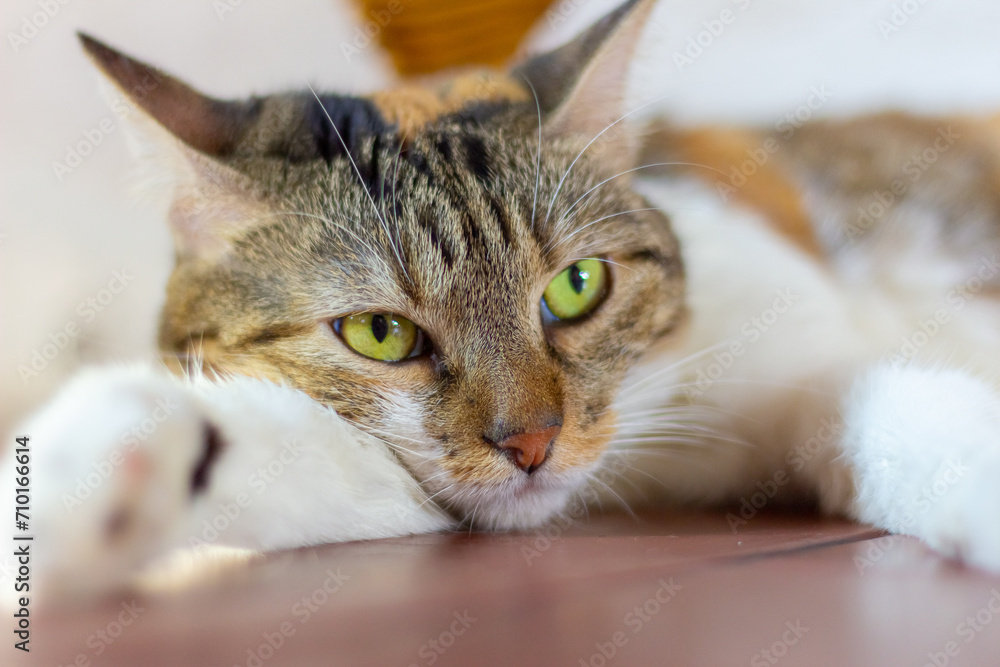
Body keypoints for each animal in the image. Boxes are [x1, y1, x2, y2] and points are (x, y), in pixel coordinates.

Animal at [9, 0, 1000, 596]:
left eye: (577, 285)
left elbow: (878, 404)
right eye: (380, 332)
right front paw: (106, 465)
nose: (533, 443)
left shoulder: (798, 355)